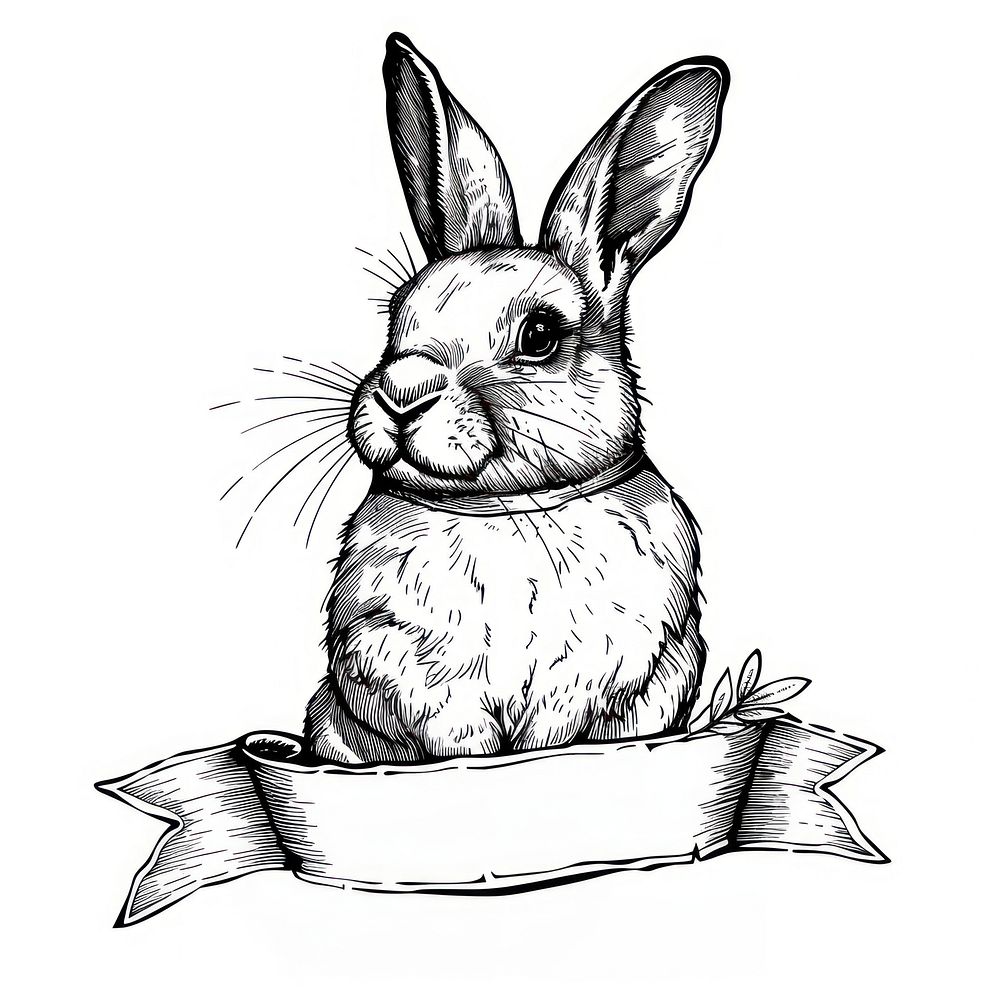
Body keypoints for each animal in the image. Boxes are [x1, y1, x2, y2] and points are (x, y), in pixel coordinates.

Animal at [305, 33, 729, 765]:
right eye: (396, 317)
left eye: (539, 335)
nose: (401, 394)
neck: (507, 506)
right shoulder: (400, 659)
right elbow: (454, 734)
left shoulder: (620, 671)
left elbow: (561, 729)